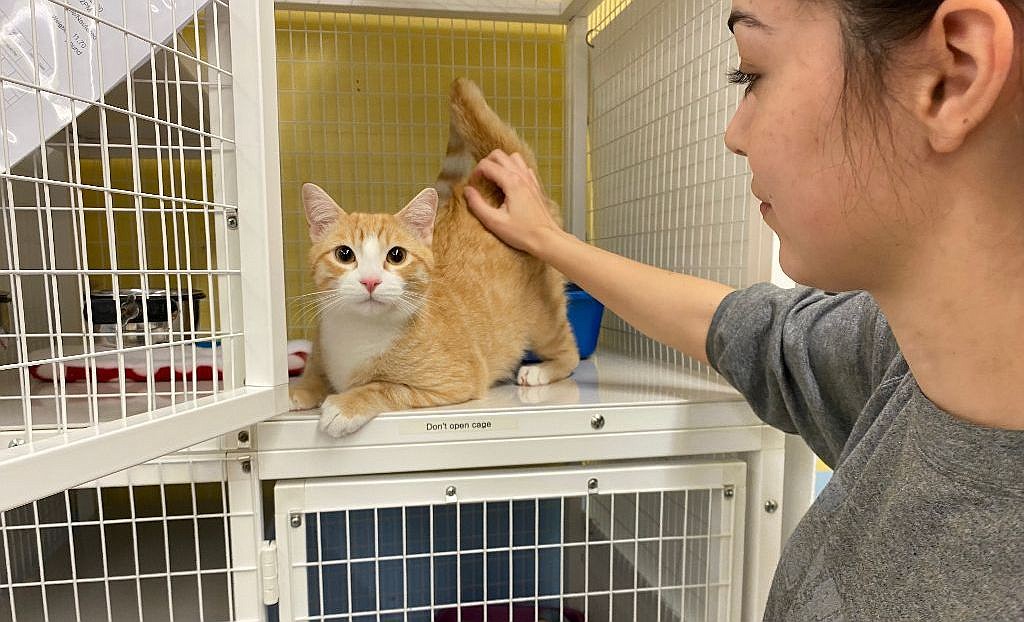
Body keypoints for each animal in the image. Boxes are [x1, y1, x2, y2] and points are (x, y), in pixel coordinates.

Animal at [290, 77, 577, 438]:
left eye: (396, 255)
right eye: (345, 254)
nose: (370, 281)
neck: (360, 332)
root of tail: (483, 184)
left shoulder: (456, 380)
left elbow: (385, 386)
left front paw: (345, 404)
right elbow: (316, 374)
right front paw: (301, 388)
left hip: (543, 320)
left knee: (570, 350)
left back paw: (542, 370)